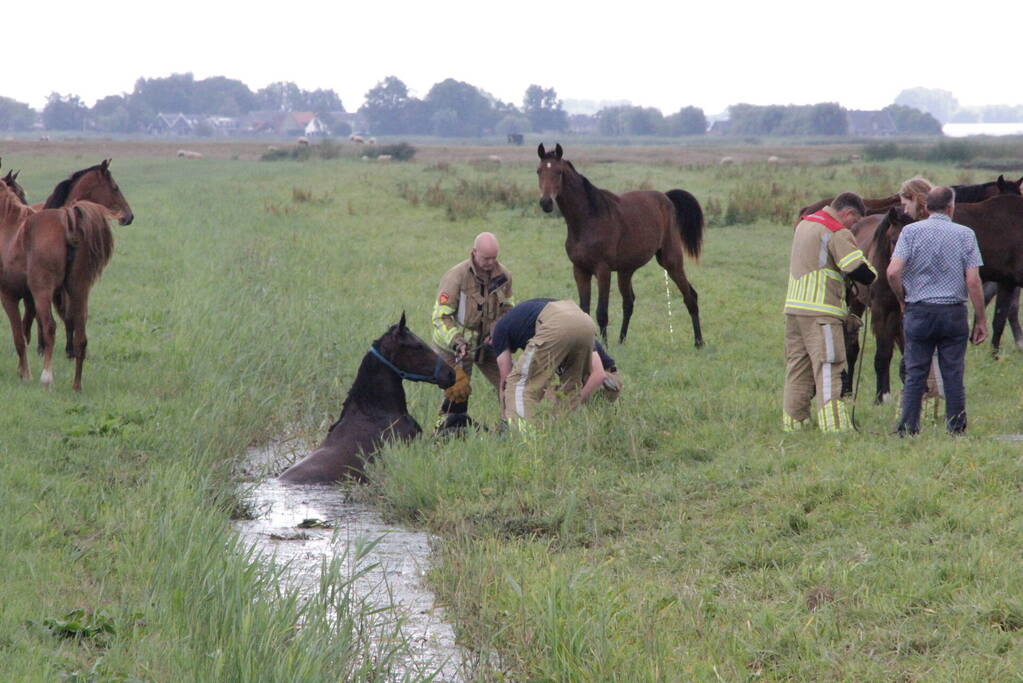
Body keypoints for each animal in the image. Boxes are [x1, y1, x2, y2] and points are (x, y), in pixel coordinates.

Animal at [536, 143, 705, 346]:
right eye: (538, 171)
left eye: (559, 172)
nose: (546, 202)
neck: (588, 219)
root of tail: (666, 198)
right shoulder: (580, 270)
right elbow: (584, 310)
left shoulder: (602, 270)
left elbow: (602, 313)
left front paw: (604, 346)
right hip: (626, 271)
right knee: (629, 302)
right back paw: (622, 340)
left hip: (671, 261)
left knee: (690, 296)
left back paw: (698, 342)